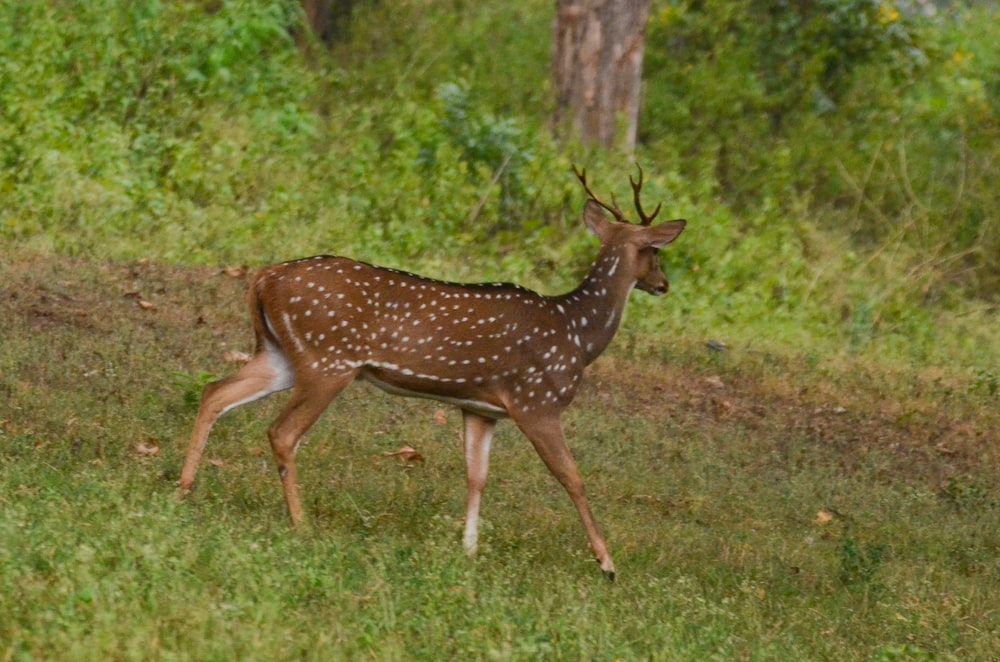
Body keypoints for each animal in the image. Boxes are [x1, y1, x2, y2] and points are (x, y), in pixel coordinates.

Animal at [176, 166, 684, 580]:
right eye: (656, 253)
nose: (663, 284)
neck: (578, 335)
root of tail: (263, 278)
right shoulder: (537, 402)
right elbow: (572, 478)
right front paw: (607, 563)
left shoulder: (481, 409)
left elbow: (476, 475)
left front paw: (469, 549)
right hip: (329, 360)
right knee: (281, 432)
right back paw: (300, 524)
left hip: (281, 354)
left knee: (214, 392)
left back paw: (183, 490)